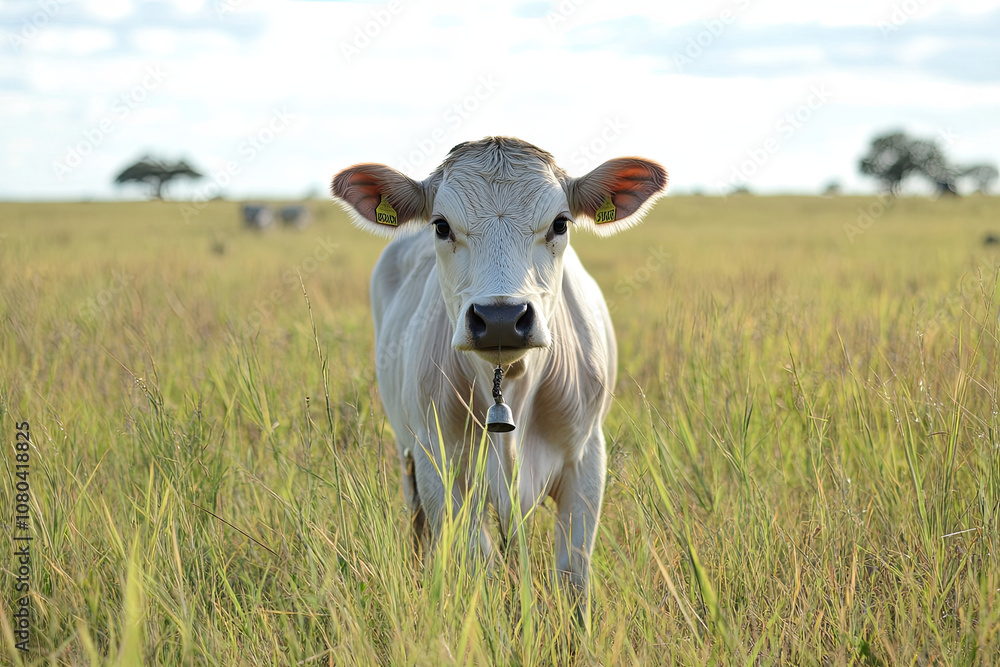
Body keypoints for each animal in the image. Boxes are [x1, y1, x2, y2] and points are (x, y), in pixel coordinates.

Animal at [331, 136, 667, 623]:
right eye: (441, 226)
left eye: (560, 223)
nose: (502, 318)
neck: (510, 389)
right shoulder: (440, 469)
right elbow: (480, 568)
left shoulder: (586, 459)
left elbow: (572, 576)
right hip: (407, 453)